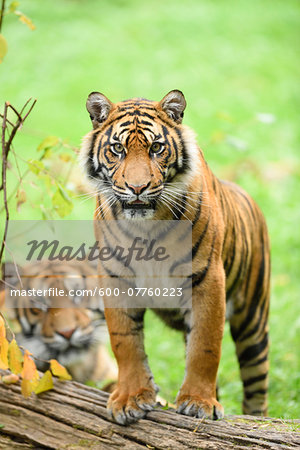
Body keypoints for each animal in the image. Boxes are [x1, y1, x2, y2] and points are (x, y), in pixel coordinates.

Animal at [79, 89, 270, 424]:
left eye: (156, 148)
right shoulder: (115, 278)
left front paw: (199, 402)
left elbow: (205, 347)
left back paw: (257, 421)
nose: (137, 188)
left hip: (253, 321)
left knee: (257, 387)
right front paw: (130, 398)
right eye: (117, 149)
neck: (146, 227)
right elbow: (125, 342)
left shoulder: (207, 278)